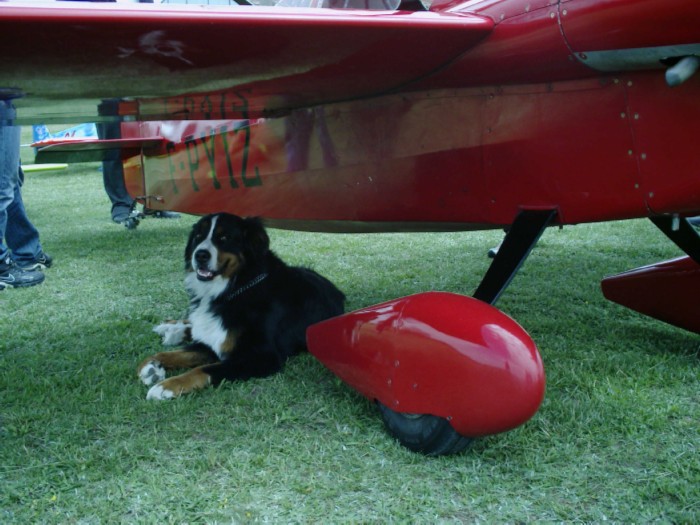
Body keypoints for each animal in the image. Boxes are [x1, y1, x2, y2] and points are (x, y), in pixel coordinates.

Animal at [137, 213, 345, 400]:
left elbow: (203, 369)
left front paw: (166, 386)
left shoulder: (260, 356)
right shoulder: (213, 341)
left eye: (224, 238)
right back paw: (171, 328)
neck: (232, 290)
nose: (200, 255)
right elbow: (168, 354)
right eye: (198, 236)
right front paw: (150, 367)